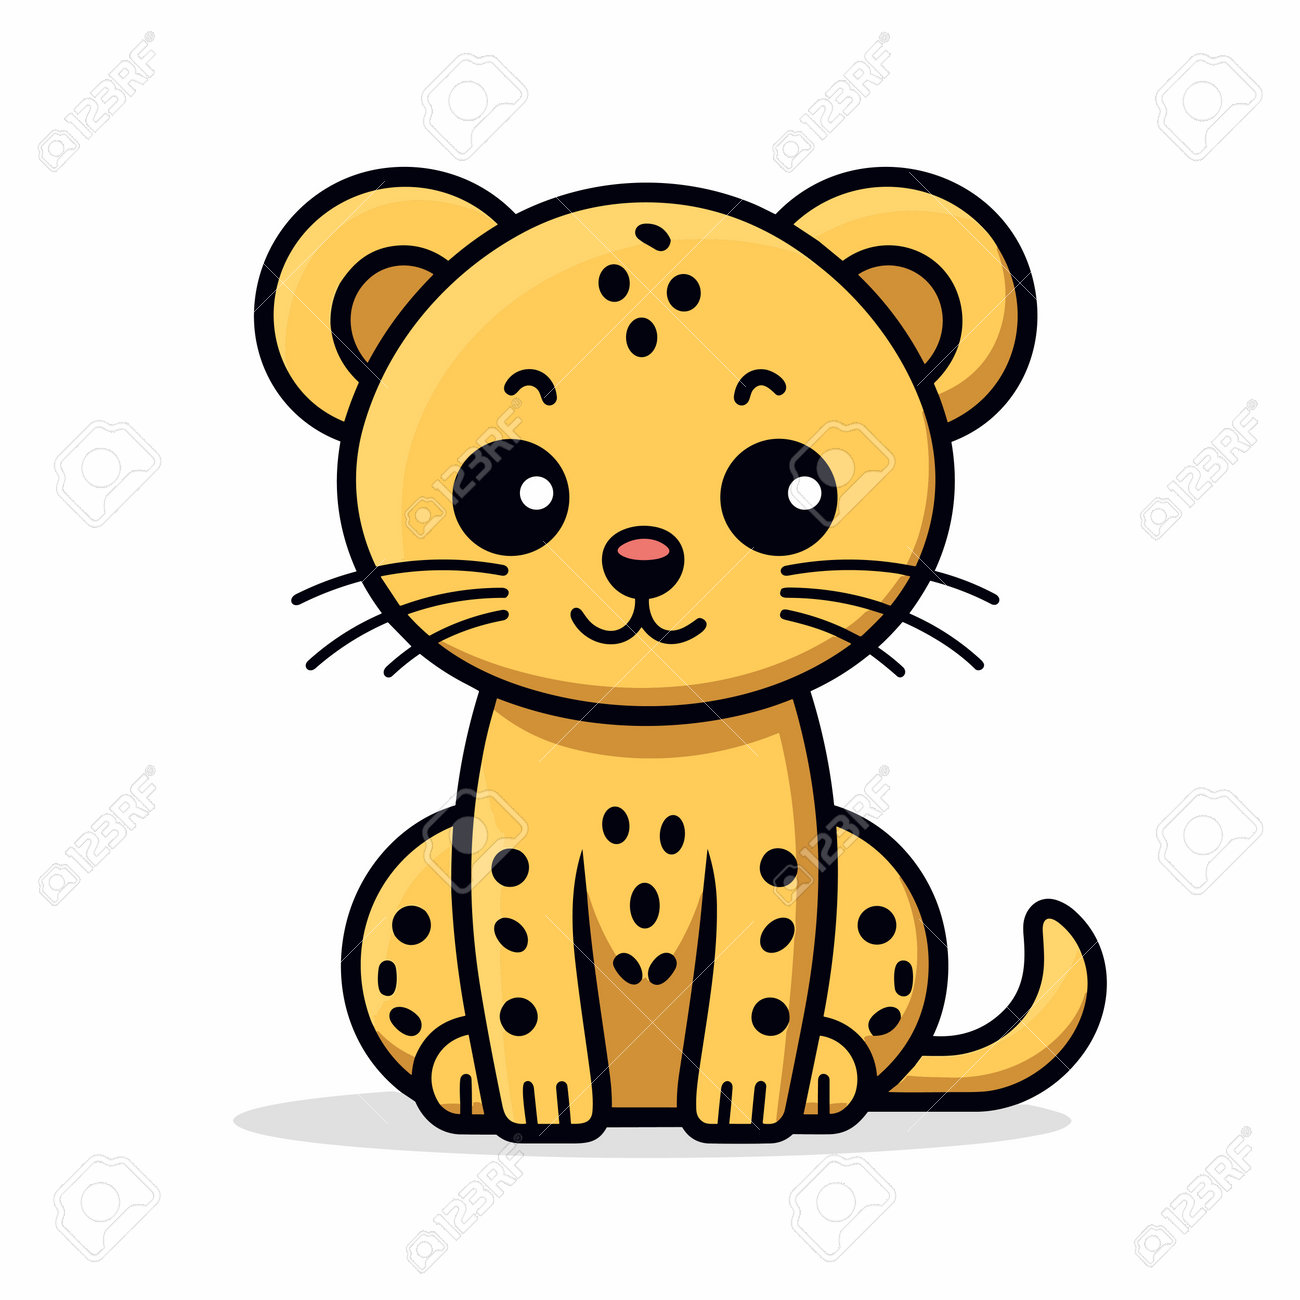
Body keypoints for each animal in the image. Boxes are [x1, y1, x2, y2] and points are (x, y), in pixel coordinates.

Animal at [254, 165, 1105, 1143]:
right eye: (506, 488)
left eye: (791, 487)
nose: (643, 557)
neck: (644, 735)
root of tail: (644, 1104)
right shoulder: (511, 858)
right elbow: (524, 988)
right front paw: (540, 1102)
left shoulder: (778, 860)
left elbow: (764, 988)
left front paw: (748, 1103)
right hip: (420, 869)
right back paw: (464, 1074)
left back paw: (828, 1077)